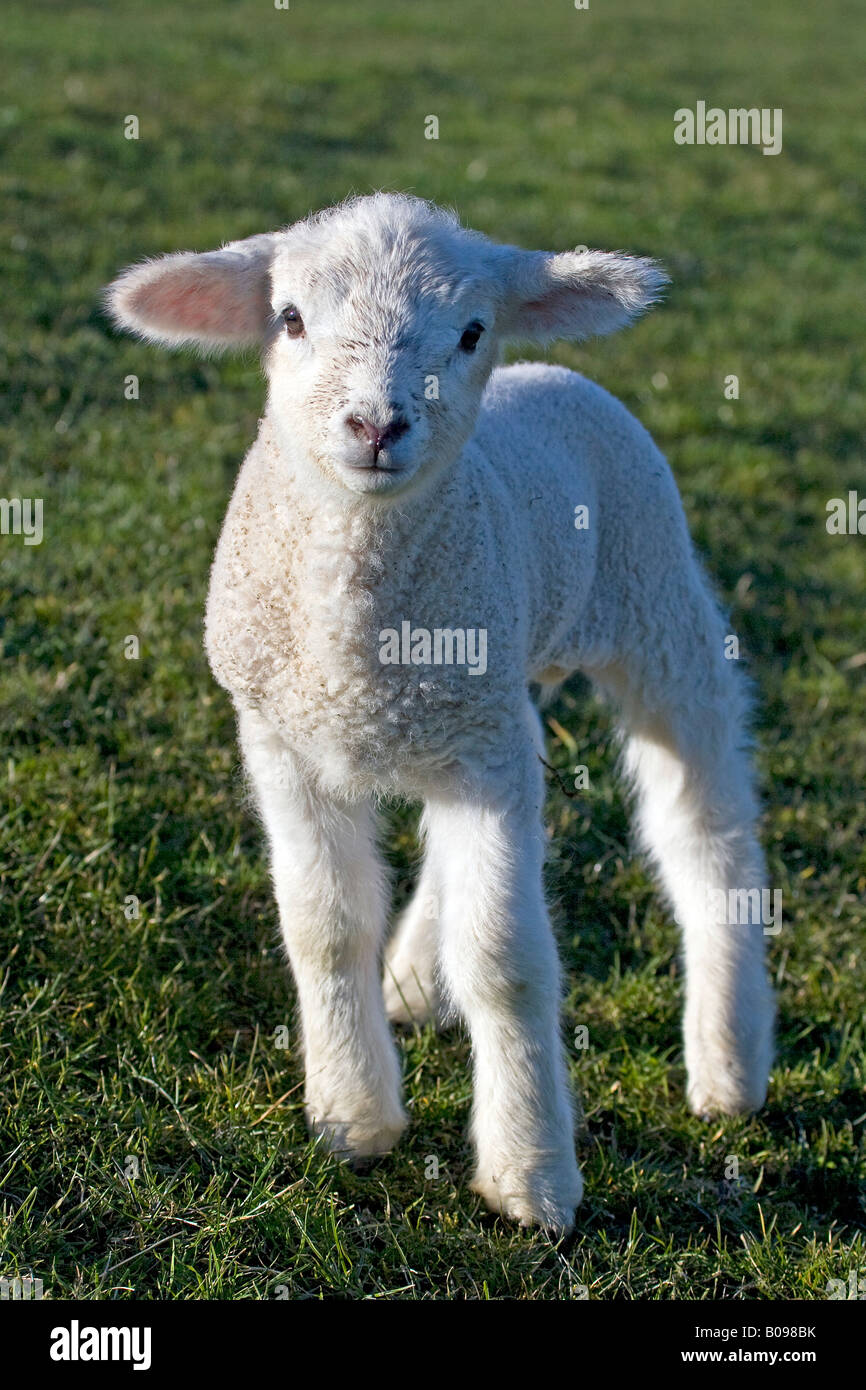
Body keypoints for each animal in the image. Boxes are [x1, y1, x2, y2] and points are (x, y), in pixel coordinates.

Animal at [104, 190, 778, 1234]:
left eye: (468, 332)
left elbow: (505, 961)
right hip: (501, 685)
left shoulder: (483, 752)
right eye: (288, 318)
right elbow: (325, 926)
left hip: (658, 614)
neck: (355, 642)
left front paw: (531, 1177)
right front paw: (353, 1117)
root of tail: (553, 372)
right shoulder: (286, 741)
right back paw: (417, 977)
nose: (377, 424)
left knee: (705, 832)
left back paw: (728, 1065)